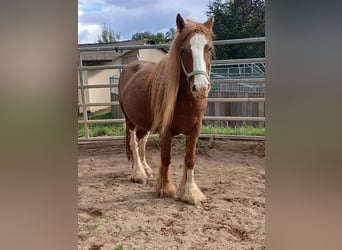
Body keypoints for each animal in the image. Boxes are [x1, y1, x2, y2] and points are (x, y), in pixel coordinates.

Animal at [119, 13, 212, 205]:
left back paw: (145, 168)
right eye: (183, 50)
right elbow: (166, 158)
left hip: (143, 123)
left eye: (208, 48)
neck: (186, 101)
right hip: (130, 120)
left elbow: (190, 159)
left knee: (141, 142)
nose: (200, 88)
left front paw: (190, 193)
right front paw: (166, 188)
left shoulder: (195, 129)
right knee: (133, 143)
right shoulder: (166, 130)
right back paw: (138, 173)